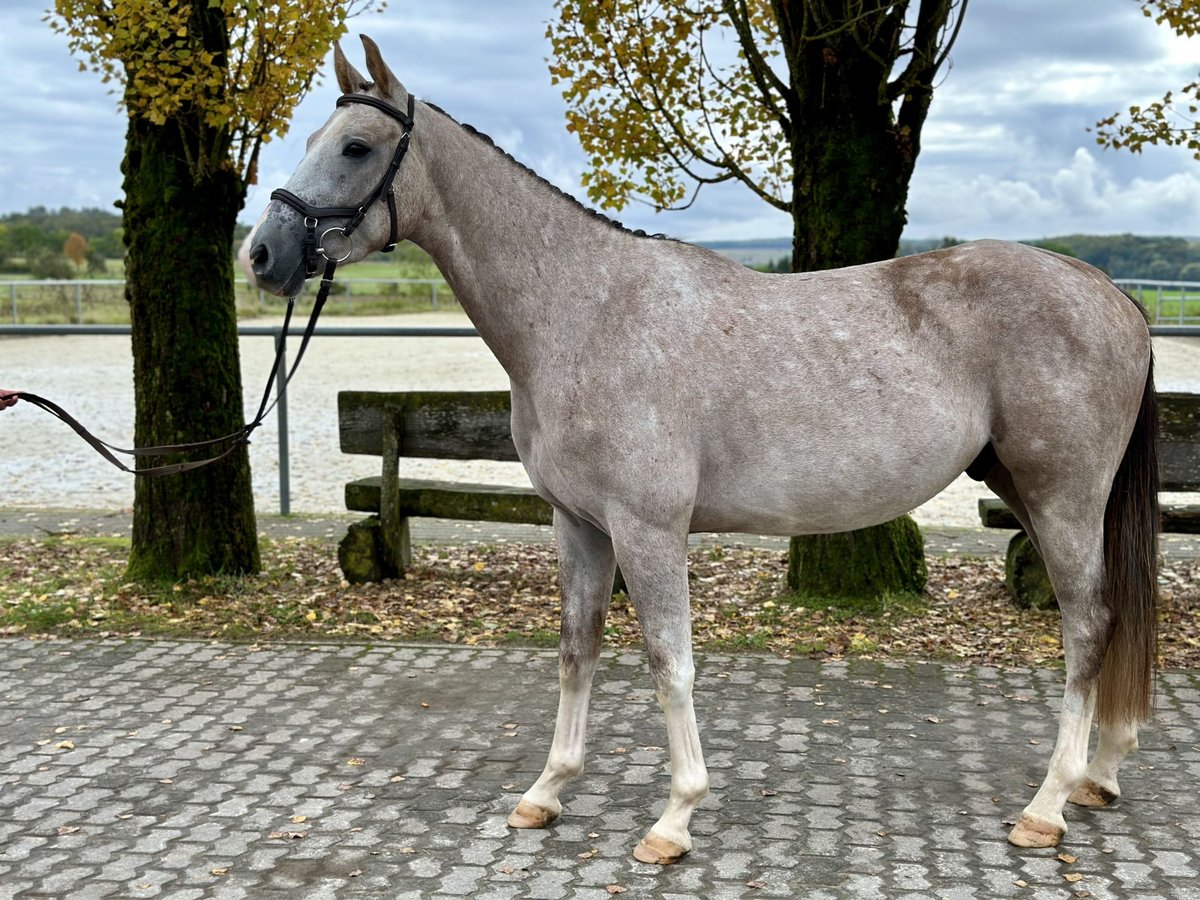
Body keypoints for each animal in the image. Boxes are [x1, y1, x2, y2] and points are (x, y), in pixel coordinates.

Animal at [253, 37, 1161, 868]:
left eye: (356, 146)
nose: (263, 253)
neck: (585, 311)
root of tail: (1112, 293)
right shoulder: (578, 525)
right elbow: (576, 650)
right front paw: (547, 791)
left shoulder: (648, 529)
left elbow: (669, 661)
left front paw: (675, 818)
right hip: (1027, 490)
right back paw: (1098, 775)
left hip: (1063, 499)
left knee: (1088, 627)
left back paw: (1046, 807)